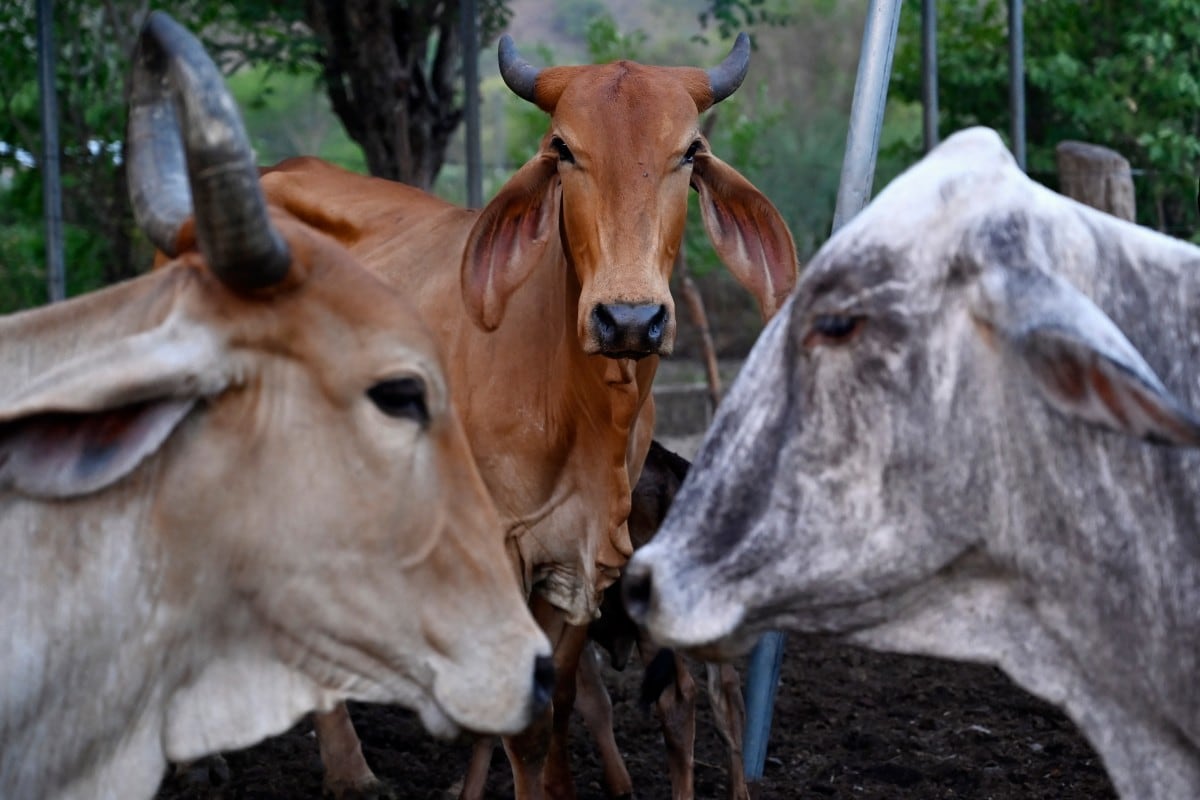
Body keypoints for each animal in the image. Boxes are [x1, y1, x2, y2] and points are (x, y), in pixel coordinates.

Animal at [259, 32, 798, 800]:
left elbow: (564, 698)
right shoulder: (499, 548)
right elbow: (524, 720)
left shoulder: (581, 562)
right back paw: (344, 769)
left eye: (690, 152)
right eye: (563, 149)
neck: (579, 409)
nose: (628, 318)